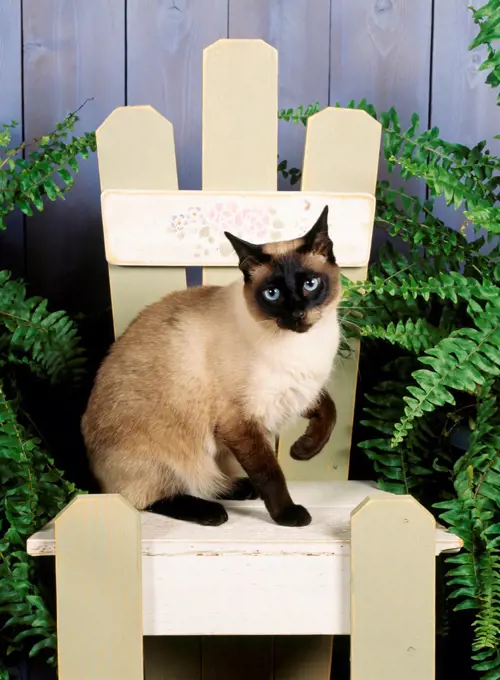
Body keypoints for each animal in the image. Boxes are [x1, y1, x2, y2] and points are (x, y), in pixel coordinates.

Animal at [82, 205, 342, 528]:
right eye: (272, 294)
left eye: (310, 284)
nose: (297, 314)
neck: (302, 345)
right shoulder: (240, 421)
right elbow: (269, 472)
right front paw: (288, 515)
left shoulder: (298, 392)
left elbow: (330, 411)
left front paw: (303, 450)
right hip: (167, 458)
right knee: (154, 497)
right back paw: (213, 513)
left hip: (220, 453)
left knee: (213, 482)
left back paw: (242, 488)